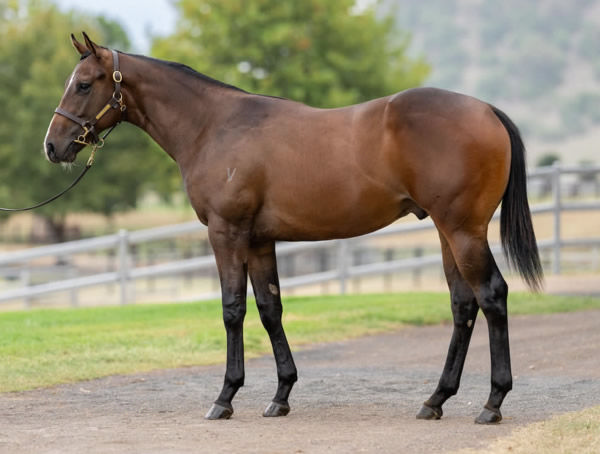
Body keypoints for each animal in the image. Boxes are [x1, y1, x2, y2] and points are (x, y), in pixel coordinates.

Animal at [42, 32, 540, 426]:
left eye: (83, 84)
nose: (52, 146)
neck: (214, 126)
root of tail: (486, 110)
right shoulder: (260, 240)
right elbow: (270, 309)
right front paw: (280, 396)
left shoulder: (226, 233)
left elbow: (232, 309)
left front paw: (224, 398)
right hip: (445, 231)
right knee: (463, 305)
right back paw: (435, 400)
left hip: (463, 230)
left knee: (492, 296)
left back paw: (492, 403)